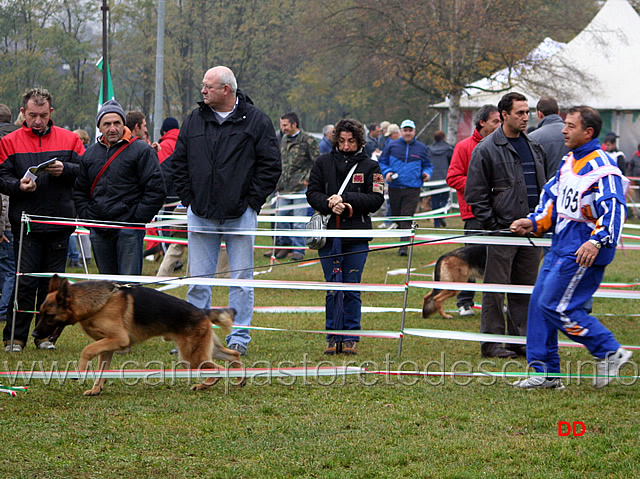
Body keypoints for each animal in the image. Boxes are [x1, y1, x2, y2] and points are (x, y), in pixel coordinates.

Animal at [33, 276, 242, 396]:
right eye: (40, 312)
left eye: (49, 315)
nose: (34, 333)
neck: (96, 303)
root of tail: (202, 311)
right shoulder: (107, 345)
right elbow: (102, 369)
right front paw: (96, 389)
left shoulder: (118, 340)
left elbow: (87, 350)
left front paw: (80, 371)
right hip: (203, 349)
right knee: (233, 355)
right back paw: (240, 379)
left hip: (190, 356)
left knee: (218, 370)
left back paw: (204, 385)